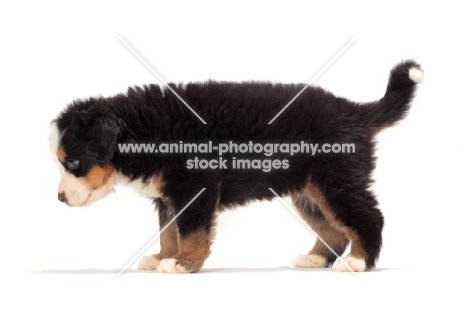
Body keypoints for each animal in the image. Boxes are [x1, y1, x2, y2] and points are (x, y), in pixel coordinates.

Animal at [48, 59, 424, 272]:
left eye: (73, 162)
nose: (60, 198)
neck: (144, 130)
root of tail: (355, 110)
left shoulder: (195, 187)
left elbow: (191, 232)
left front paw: (183, 263)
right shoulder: (168, 197)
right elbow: (169, 231)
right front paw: (161, 257)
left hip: (335, 180)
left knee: (367, 218)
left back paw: (358, 262)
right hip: (308, 189)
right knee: (330, 228)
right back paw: (315, 259)